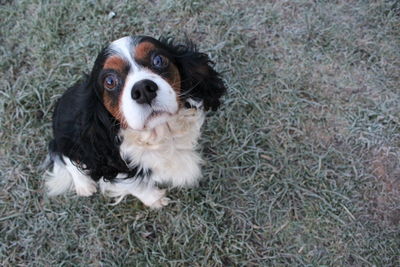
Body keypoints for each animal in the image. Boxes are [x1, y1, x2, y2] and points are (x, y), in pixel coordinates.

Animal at [45, 35, 227, 209]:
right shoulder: (113, 164)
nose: (143, 89)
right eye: (109, 81)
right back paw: (84, 185)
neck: (160, 134)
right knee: (64, 155)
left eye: (158, 60)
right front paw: (155, 200)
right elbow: (135, 185)